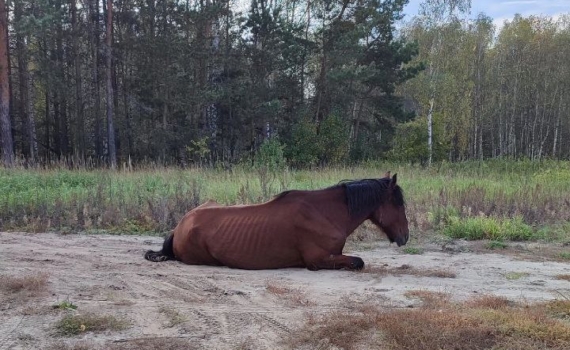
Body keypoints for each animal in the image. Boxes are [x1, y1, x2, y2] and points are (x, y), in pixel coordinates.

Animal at [144, 172, 406, 270]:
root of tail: (181, 225)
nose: (405, 237)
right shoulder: (317, 260)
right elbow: (358, 261)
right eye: (399, 204)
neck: (326, 213)